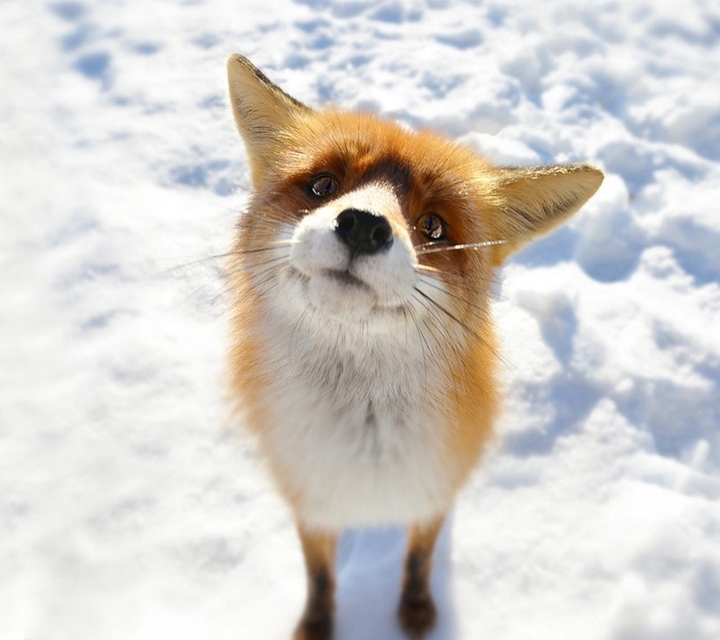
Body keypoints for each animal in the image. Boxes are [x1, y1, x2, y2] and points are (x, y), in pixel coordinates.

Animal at [225, 53, 603, 640]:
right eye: (323, 185)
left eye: (434, 225)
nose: (362, 226)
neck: (364, 443)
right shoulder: (308, 498)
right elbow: (320, 575)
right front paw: (317, 625)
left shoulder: (434, 490)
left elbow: (420, 558)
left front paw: (417, 612)